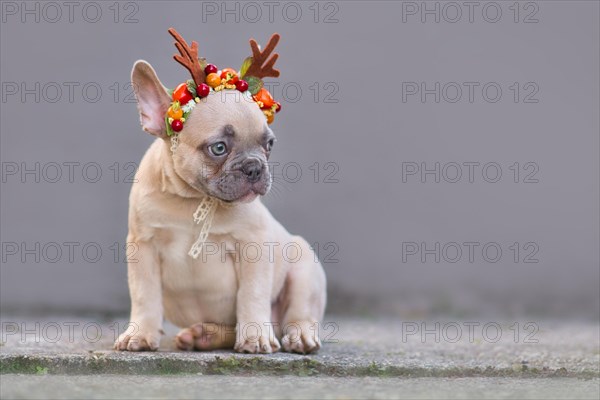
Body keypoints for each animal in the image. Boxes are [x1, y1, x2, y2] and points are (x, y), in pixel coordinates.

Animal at [114, 30, 326, 354]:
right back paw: (203, 336)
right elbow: (144, 294)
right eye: (219, 148)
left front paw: (255, 336)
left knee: (297, 313)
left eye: (269, 144)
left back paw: (298, 334)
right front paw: (140, 334)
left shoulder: (253, 247)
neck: (192, 199)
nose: (254, 167)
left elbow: (251, 294)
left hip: (304, 267)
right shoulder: (144, 246)